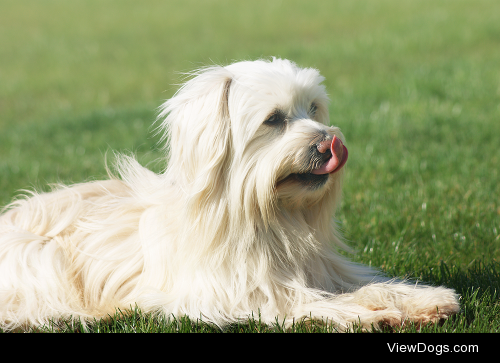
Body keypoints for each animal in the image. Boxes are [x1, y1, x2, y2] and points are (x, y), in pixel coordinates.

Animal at [0, 57, 460, 332]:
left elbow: (367, 284)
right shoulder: (238, 296)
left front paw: (426, 300)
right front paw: (370, 316)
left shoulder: (323, 271)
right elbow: (305, 304)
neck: (268, 216)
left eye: (313, 109)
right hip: (39, 255)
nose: (327, 142)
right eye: (273, 120)